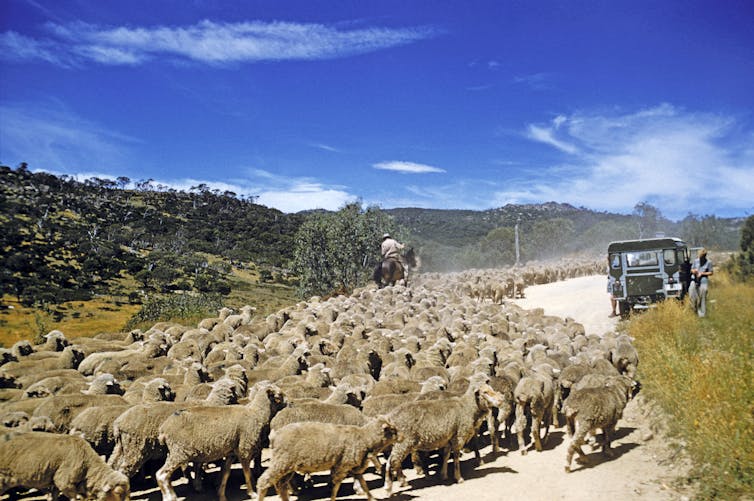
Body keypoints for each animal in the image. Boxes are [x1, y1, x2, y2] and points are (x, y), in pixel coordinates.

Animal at [156, 378, 284, 500]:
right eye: (279, 396)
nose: (288, 403)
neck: (257, 413)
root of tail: (164, 428)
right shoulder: (244, 449)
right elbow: (247, 473)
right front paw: (252, 493)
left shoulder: (231, 453)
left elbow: (225, 474)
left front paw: (221, 494)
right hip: (179, 452)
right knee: (161, 475)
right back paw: (170, 497)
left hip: (175, 452)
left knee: (166, 476)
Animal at [256, 416, 400, 500]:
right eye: (392, 430)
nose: (402, 436)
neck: (365, 439)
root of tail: (274, 436)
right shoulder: (342, 466)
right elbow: (336, 487)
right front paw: (332, 498)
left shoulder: (354, 468)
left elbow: (364, 484)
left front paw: (371, 497)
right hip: (281, 461)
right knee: (263, 481)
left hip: (287, 467)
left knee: (281, 486)